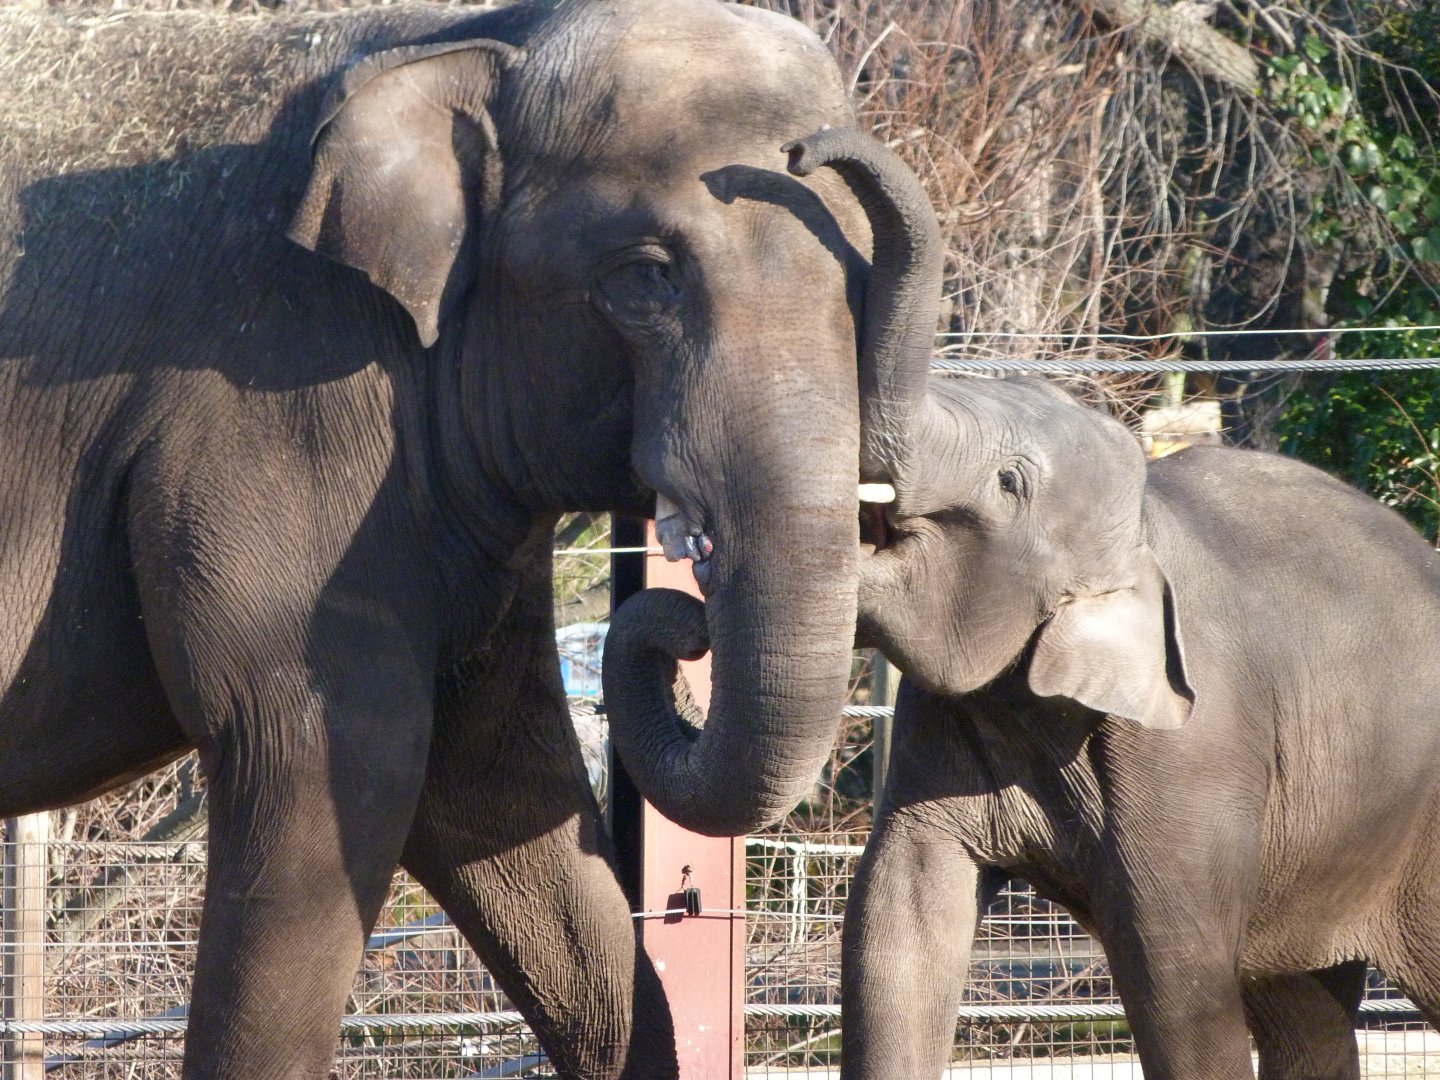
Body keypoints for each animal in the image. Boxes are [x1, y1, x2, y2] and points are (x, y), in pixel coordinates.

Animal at [0, 1, 941, 1075]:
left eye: (859, 283)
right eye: (647, 279)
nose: (817, 149)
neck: (465, 41)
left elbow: (495, 781)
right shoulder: (281, 401)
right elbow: (342, 753)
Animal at [844, 372, 1440, 1079]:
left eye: (1009, 481)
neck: (1143, 521)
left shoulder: (1194, 745)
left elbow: (1172, 968)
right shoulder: (937, 726)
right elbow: (897, 917)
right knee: (1302, 1010)